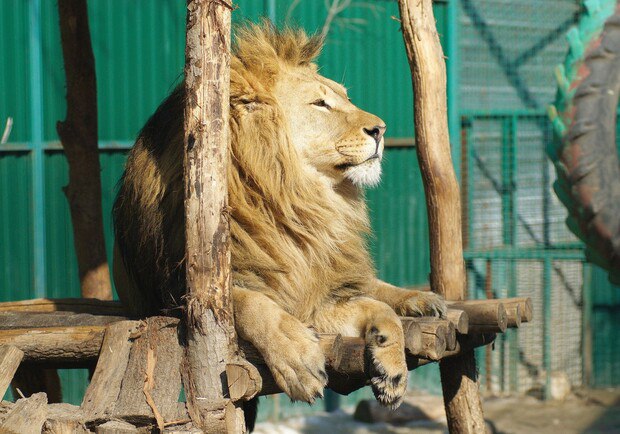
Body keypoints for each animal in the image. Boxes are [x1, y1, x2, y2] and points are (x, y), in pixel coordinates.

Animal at [114, 22, 446, 418]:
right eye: (320, 103)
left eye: (344, 97)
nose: (381, 129)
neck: (292, 200)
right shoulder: (182, 293)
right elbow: (252, 304)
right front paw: (299, 357)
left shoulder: (314, 291)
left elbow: (379, 308)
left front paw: (391, 369)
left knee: (375, 287)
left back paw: (422, 299)